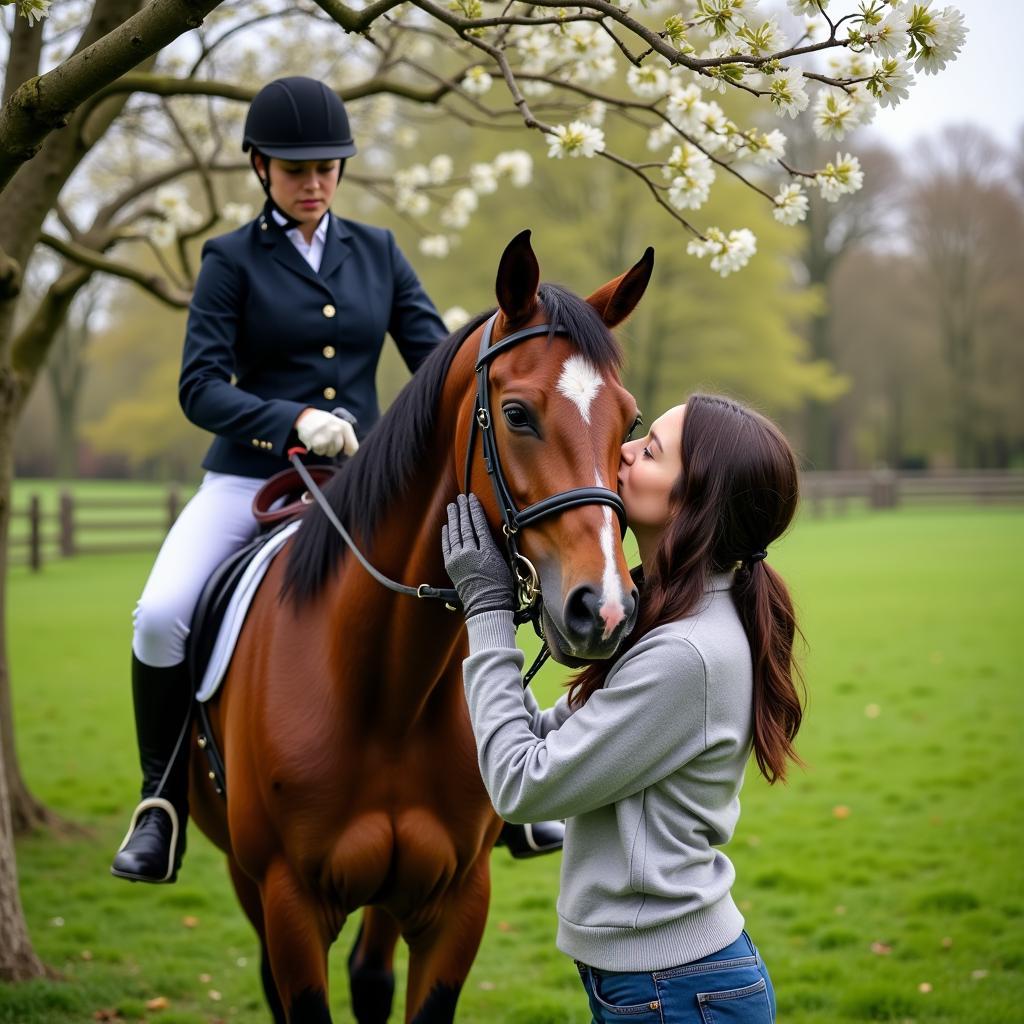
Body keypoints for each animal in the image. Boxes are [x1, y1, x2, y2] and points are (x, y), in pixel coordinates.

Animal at [190, 228, 655, 1019]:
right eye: (517, 413)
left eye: (628, 423)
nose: (605, 609)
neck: (387, 694)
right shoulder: (288, 903)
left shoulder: (457, 901)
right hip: (246, 877)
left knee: (370, 975)